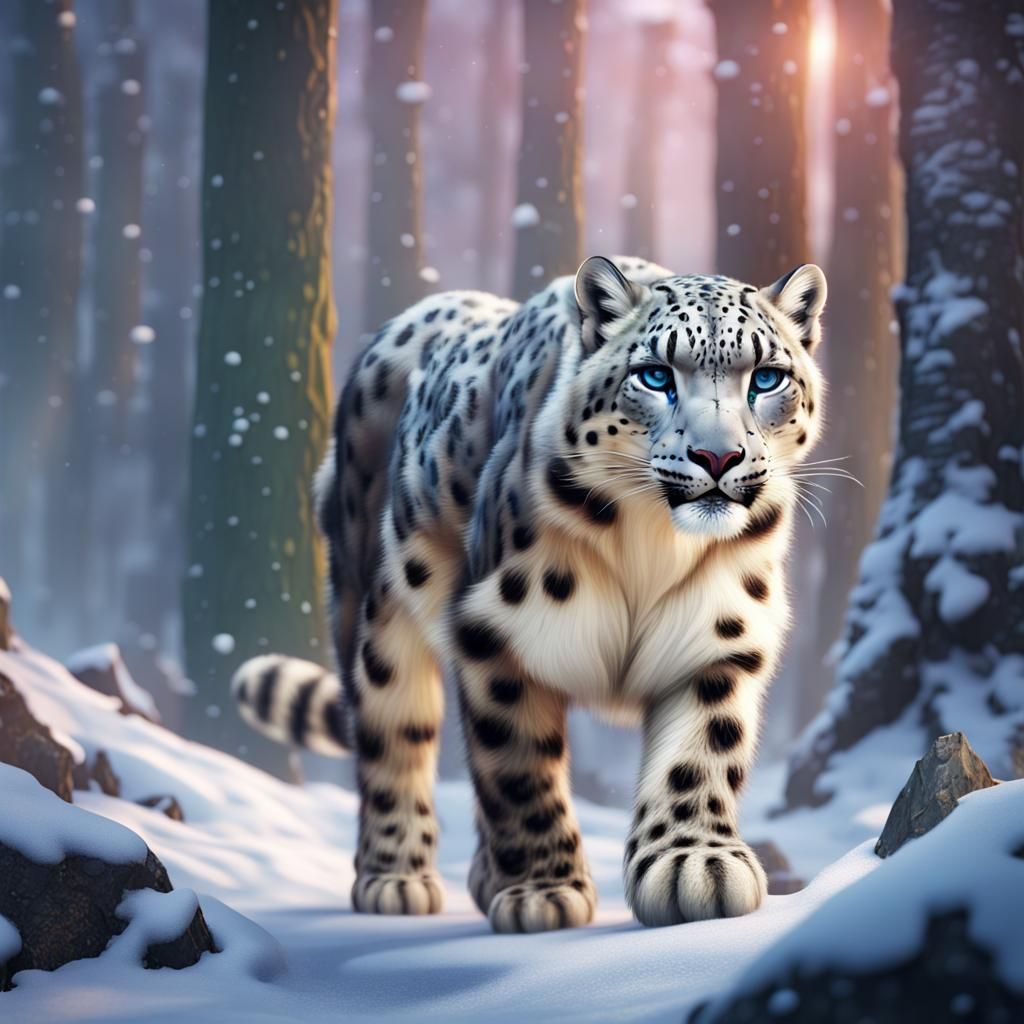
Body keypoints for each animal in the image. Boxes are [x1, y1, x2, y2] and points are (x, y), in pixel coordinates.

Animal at [232, 254, 828, 933]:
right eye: (655, 375)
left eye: (766, 378)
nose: (717, 456)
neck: (653, 544)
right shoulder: (495, 631)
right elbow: (517, 769)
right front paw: (544, 893)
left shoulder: (723, 637)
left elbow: (701, 752)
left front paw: (693, 866)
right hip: (373, 606)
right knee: (393, 731)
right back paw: (395, 877)